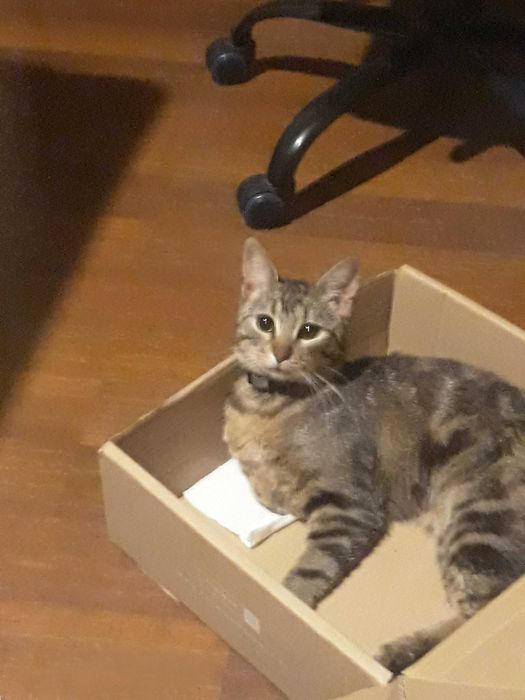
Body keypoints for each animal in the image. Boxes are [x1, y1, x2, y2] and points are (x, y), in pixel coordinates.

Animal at [223, 237, 525, 674]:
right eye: (265, 323)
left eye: (309, 331)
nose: (280, 352)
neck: (268, 406)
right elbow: (265, 488)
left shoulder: (351, 506)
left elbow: (307, 573)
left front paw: (286, 599)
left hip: (478, 520)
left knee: (475, 614)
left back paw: (400, 650)